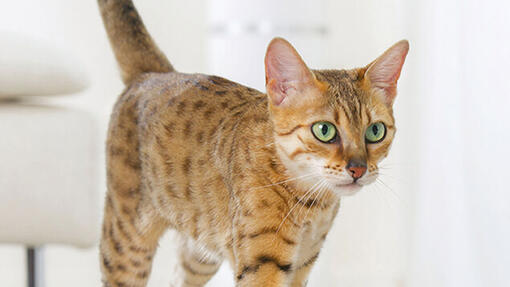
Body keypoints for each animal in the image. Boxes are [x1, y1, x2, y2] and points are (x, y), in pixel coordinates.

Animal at [96, 0, 410, 286]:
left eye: (375, 131)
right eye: (324, 130)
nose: (358, 168)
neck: (311, 205)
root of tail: (155, 74)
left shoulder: (303, 264)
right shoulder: (262, 264)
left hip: (200, 252)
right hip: (127, 241)